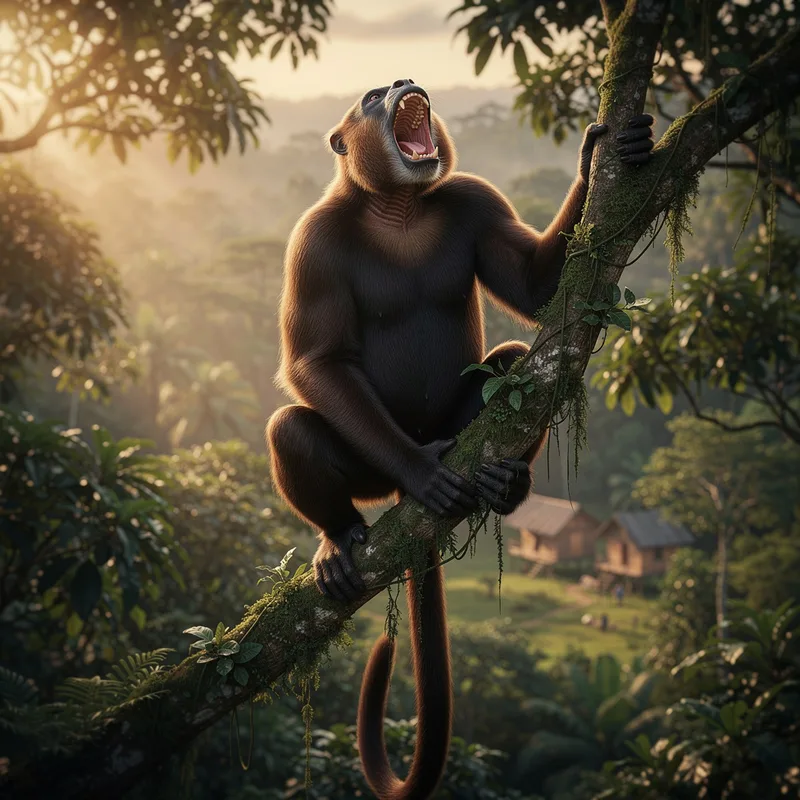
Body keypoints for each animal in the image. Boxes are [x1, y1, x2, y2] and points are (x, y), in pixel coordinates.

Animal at [266, 78, 654, 800]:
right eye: (371, 95)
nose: (400, 84)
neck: (398, 207)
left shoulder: (474, 198)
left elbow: (534, 291)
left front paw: (598, 156)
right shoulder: (312, 241)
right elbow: (315, 361)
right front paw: (422, 474)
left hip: (462, 427)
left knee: (516, 367)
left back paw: (506, 484)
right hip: (374, 469)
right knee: (291, 427)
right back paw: (339, 538)